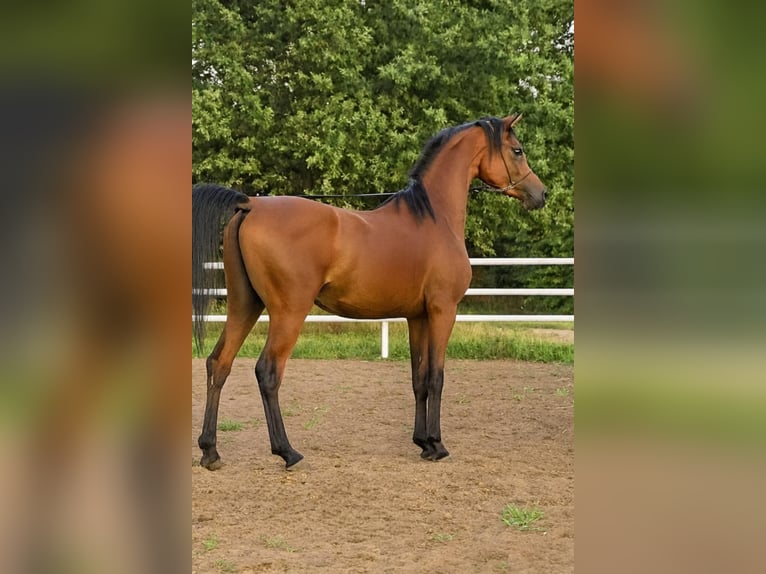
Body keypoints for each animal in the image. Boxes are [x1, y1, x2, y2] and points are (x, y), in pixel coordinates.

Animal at [192, 114, 547, 470]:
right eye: (517, 150)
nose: (541, 194)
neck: (434, 218)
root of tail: (251, 205)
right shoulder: (443, 311)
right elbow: (436, 376)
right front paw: (437, 444)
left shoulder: (417, 316)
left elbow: (419, 378)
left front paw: (422, 442)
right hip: (288, 312)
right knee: (267, 372)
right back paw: (287, 451)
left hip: (244, 305)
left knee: (218, 363)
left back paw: (210, 451)